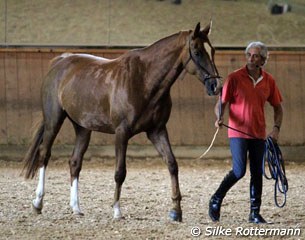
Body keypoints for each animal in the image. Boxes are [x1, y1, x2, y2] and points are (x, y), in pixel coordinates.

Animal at [22, 21, 221, 222]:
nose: (216, 86)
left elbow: (172, 164)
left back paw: (76, 207)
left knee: (75, 162)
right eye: (197, 51)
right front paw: (117, 211)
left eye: (212, 50)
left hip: (83, 128)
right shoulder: (122, 133)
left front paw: (176, 211)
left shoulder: (157, 131)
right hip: (53, 121)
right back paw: (38, 203)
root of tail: (60, 61)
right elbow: (120, 172)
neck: (143, 79)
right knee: (44, 154)